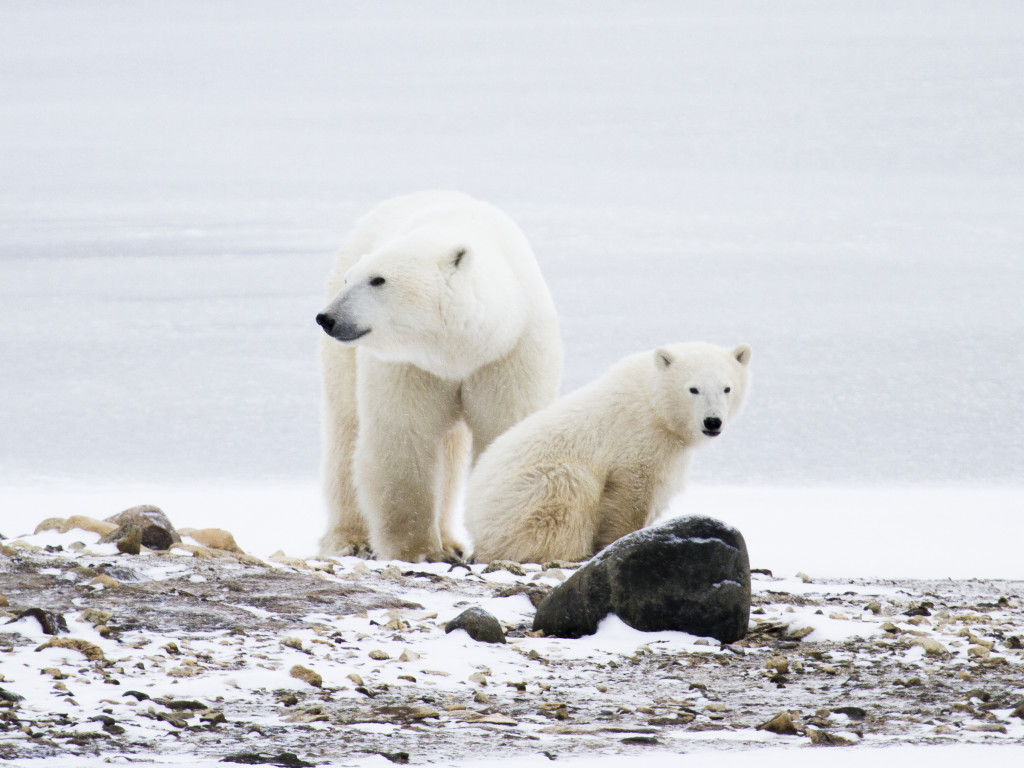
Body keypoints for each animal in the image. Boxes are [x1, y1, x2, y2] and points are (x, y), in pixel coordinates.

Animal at [315, 191, 562, 562]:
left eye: (378, 279)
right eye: (350, 279)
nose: (327, 318)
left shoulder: (509, 355)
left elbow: (508, 432)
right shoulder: (409, 366)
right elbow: (403, 440)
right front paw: (420, 551)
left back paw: (451, 539)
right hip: (343, 359)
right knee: (346, 428)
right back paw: (351, 539)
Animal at [464, 341, 751, 563]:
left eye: (727, 388)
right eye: (693, 389)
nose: (712, 422)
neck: (653, 404)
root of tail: (472, 522)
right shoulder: (637, 438)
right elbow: (631, 493)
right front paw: (623, 541)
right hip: (531, 493)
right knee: (568, 493)